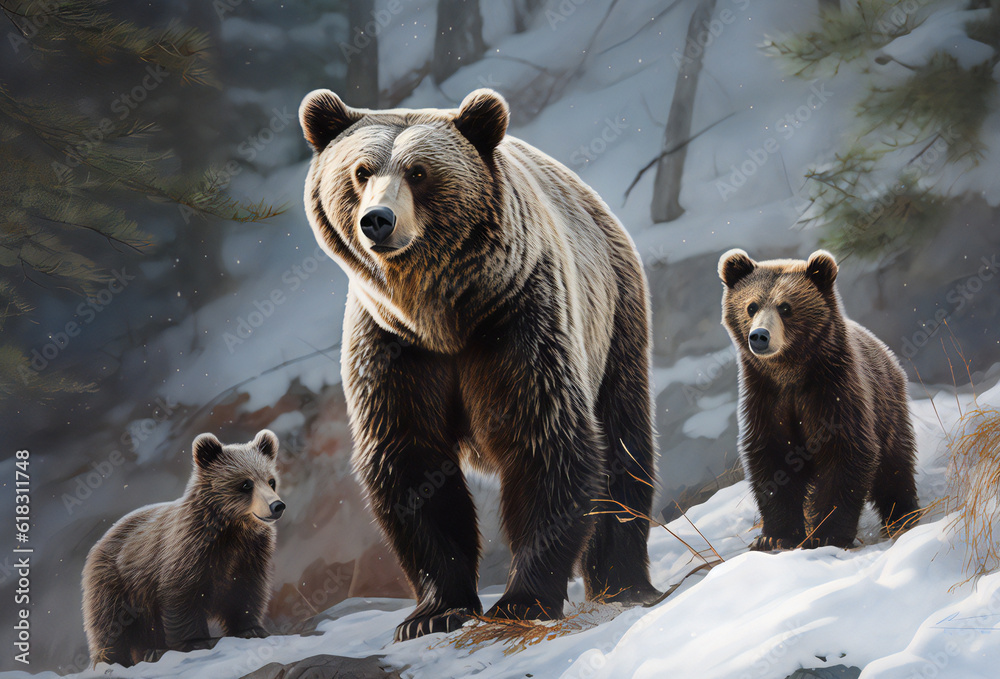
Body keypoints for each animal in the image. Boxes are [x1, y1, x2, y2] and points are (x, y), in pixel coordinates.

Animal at [82, 430, 285, 667]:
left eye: (271, 481)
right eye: (246, 484)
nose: (277, 506)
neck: (232, 531)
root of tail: (99, 542)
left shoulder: (250, 554)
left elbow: (246, 591)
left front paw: (252, 629)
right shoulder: (187, 553)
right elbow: (183, 597)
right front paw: (196, 641)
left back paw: (152, 650)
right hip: (116, 583)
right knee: (111, 624)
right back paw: (114, 659)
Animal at [298, 88, 662, 640]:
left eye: (419, 171)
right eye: (360, 170)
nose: (377, 219)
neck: (441, 314)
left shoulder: (518, 319)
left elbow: (544, 440)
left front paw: (523, 599)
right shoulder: (394, 348)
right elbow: (410, 461)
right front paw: (433, 612)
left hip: (615, 315)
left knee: (625, 442)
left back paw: (624, 581)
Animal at [718, 248, 919, 551]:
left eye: (785, 307)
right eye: (751, 306)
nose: (759, 336)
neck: (789, 372)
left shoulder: (834, 393)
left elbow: (846, 454)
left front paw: (827, 533)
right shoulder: (765, 400)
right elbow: (771, 461)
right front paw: (774, 536)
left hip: (887, 404)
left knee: (894, 466)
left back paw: (903, 516)